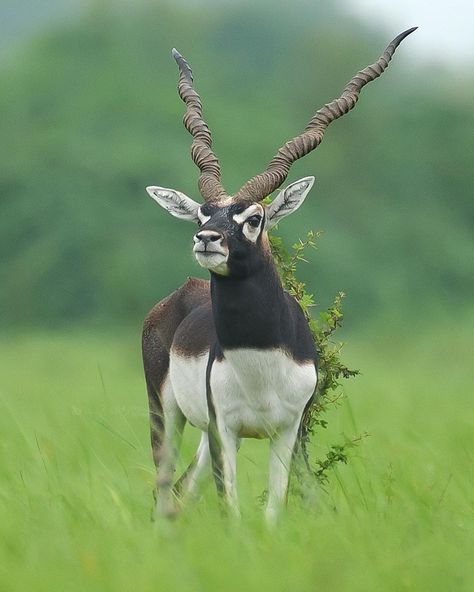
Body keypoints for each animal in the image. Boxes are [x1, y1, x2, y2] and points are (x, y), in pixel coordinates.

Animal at [143, 27, 416, 520]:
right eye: (203, 213)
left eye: (255, 218)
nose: (207, 239)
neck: (259, 362)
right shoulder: (226, 431)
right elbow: (232, 510)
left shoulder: (287, 432)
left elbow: (274, 509)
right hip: (166, 413)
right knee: (164, 489)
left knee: (183, 487)